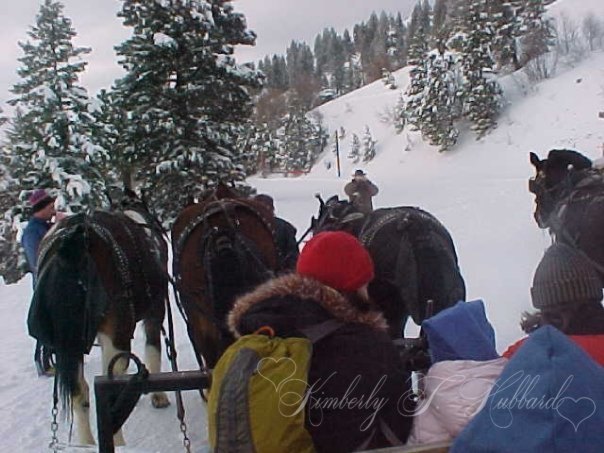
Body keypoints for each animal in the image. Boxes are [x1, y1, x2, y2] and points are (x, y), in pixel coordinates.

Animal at [27, 191, 170, 444]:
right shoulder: (155, 311)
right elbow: (153, 349)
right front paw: (159, 396)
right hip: (116, 334)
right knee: (108, 387)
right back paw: (118, 442)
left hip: (68, 344)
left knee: (80, 391)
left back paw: (87, 443)